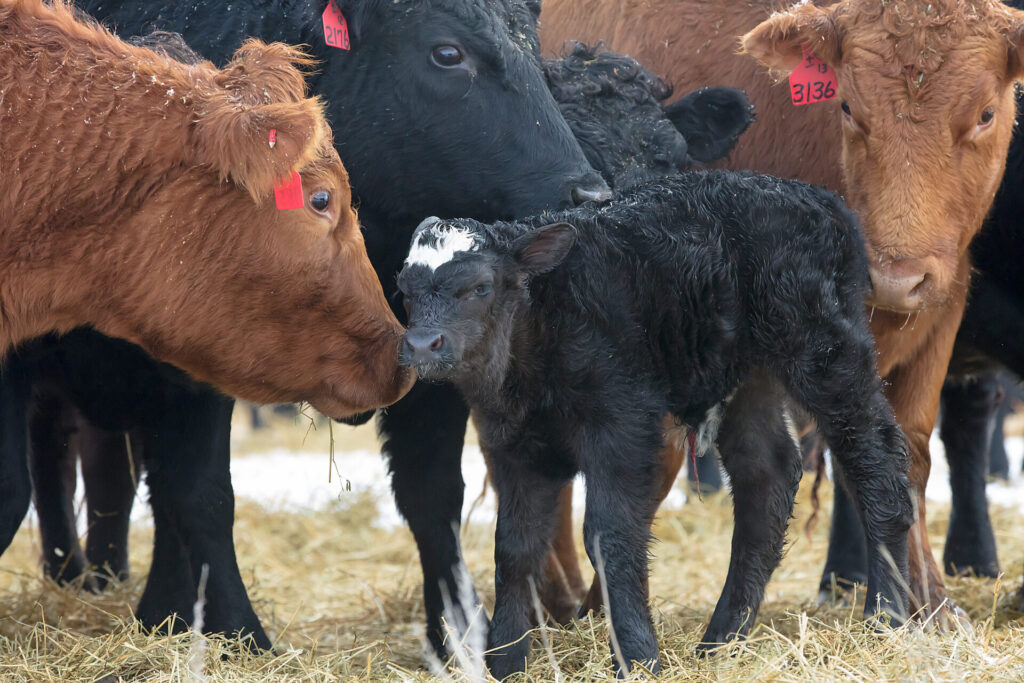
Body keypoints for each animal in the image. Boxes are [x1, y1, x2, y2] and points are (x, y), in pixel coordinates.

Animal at [397, 172, 913, 679]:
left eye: (480, 286)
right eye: (404, 291)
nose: (422, 344)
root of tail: (821, 198)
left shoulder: (622, 428)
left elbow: (609, 536)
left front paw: (637, 657)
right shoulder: (514, 447)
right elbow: (515, 546)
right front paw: (504, 661)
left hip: (827, 353)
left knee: (877, 466)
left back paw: (885, 619)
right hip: (748, 377)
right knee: (767, 479)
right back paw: (722, 640)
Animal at [536, 0, 1024, 626]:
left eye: (986, 113)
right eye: (847, 106)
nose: (895, 277)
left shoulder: (939, 309)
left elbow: (908, 452)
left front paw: (928, 604)